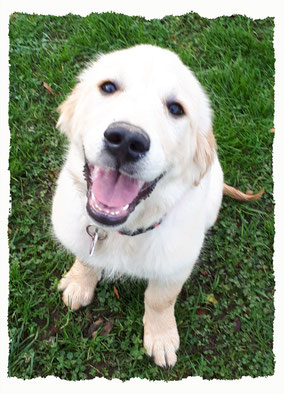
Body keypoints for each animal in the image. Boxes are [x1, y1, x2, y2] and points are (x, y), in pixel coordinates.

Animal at [51, 44, 262, 368]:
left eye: (176, 109)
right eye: (108, 87)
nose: (126, 140)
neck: (126, 231)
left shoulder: (176, 267)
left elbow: (160, 300)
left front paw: (161, 337)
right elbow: (86, 258)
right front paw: (79, 283)